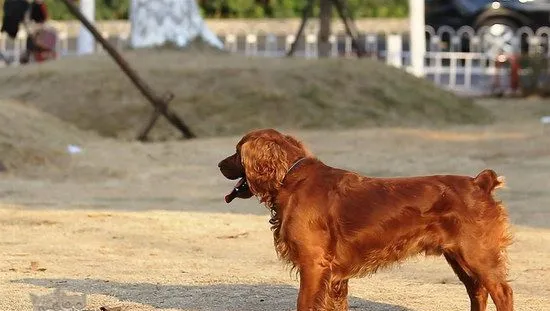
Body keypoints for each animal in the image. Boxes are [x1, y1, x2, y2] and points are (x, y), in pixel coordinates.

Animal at [218, 128, 516, 310]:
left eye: (237, 151)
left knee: (502, 292)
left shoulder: (313, 264)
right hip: (460, 257)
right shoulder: (335, 277)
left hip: (477, 255)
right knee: (478, 292)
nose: (219, 165)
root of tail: (480, 182)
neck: (291, 179)